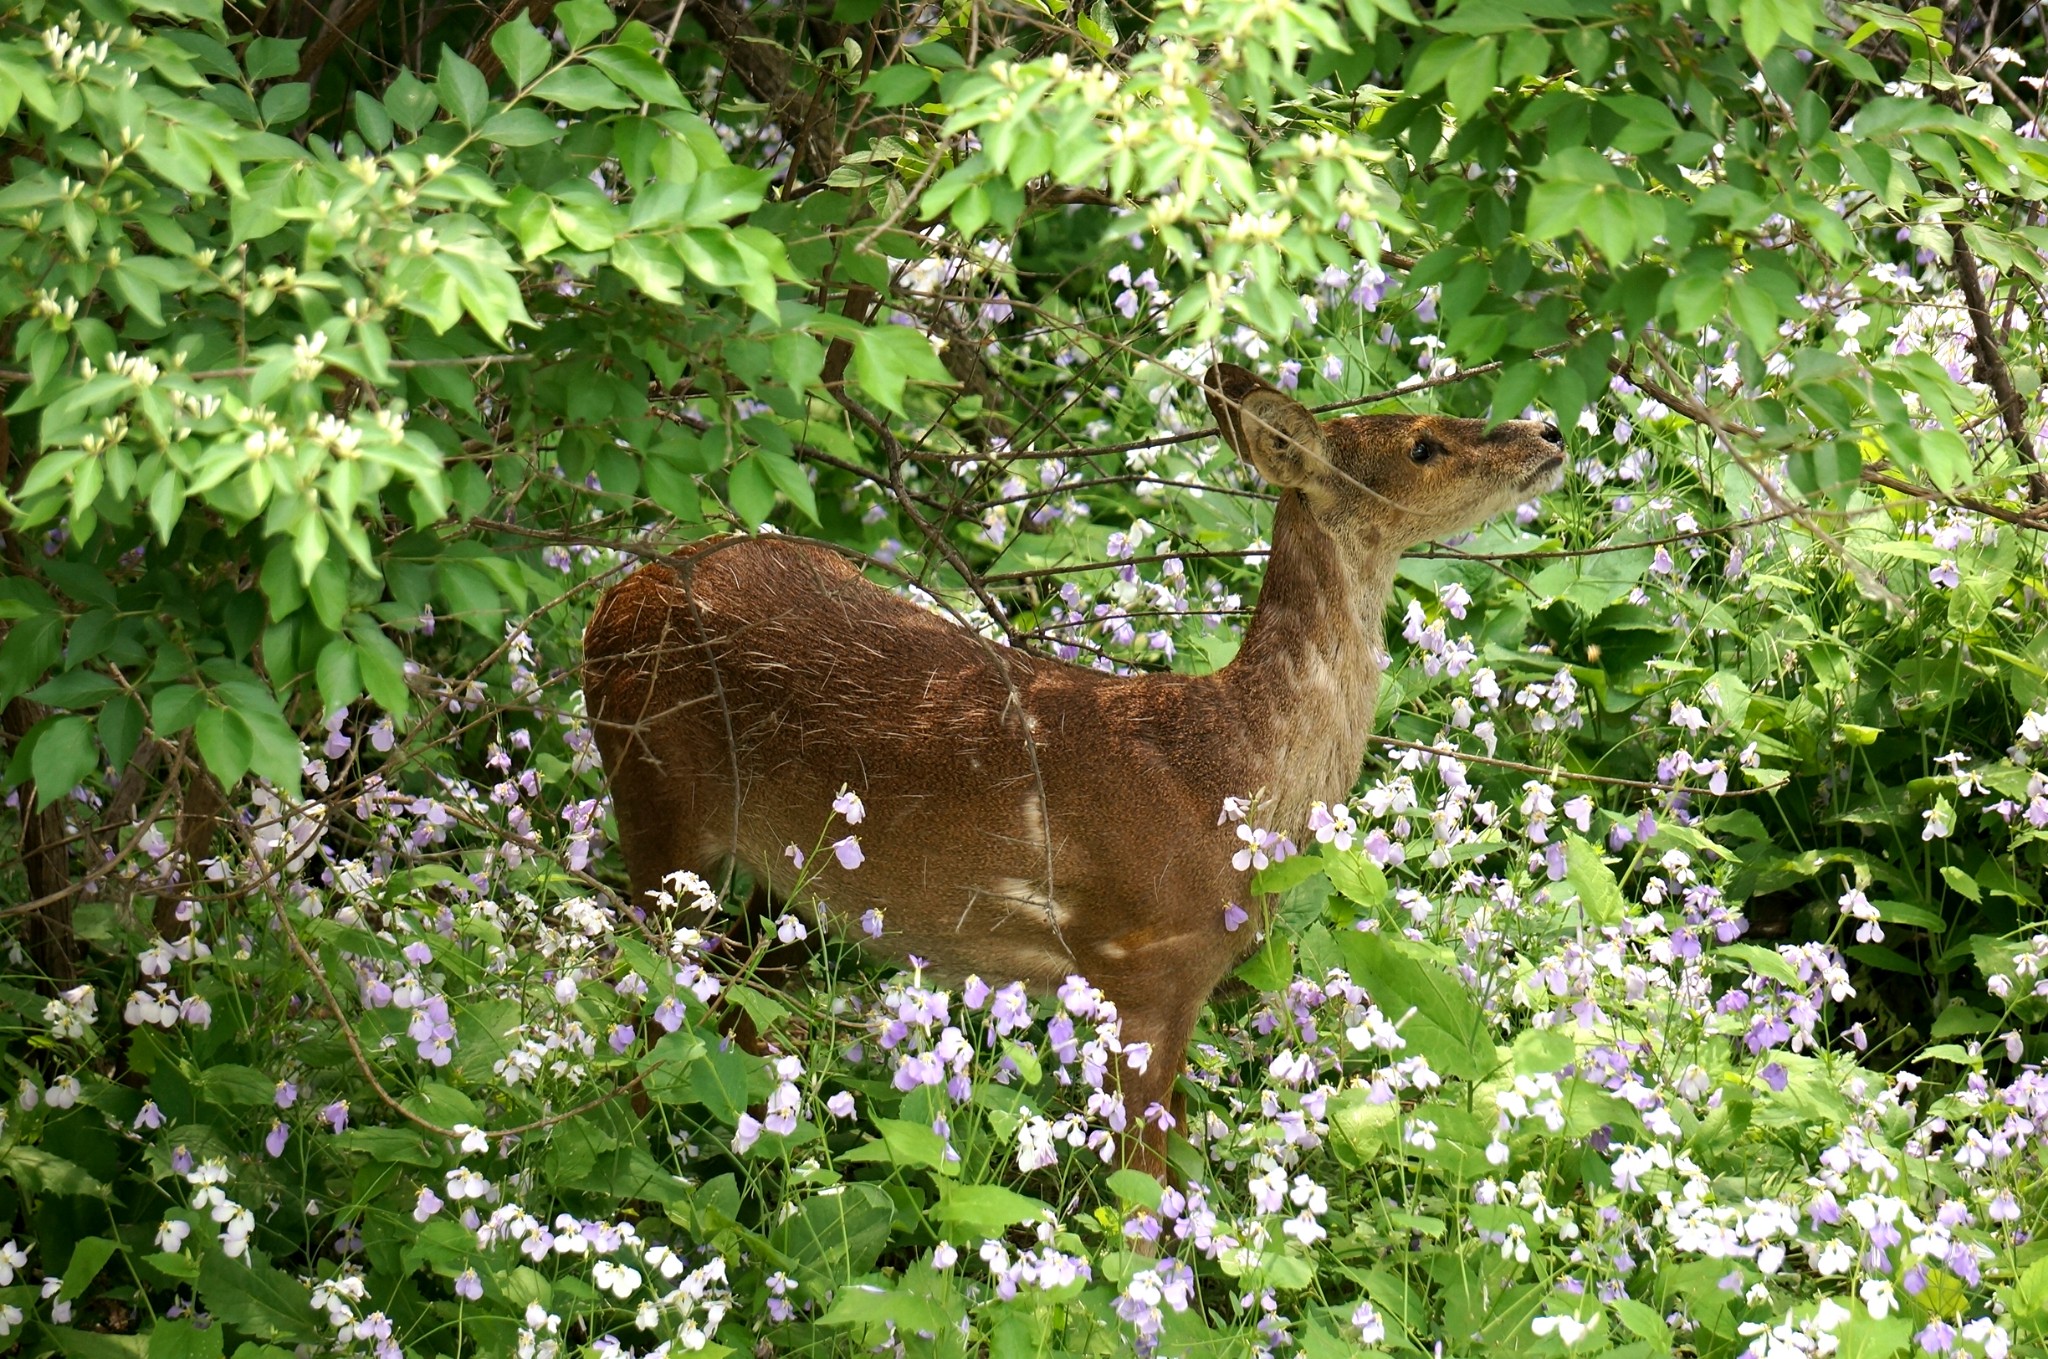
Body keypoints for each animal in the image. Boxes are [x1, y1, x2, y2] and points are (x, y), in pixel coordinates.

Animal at [585, 364, 1556, 1178]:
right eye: (1421, 444)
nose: (1547, 430)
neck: (1233, 772)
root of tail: (614, 597)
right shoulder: (1146, 965)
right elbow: (1143, 1193)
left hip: (785, 882)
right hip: (654, 792)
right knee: (635, 996)